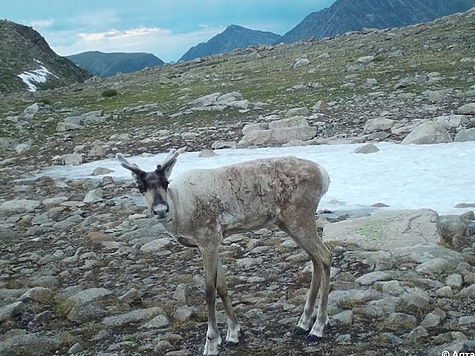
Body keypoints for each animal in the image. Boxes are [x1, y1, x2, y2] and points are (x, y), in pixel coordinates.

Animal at [117, 150, 332, 356]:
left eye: (165, 182)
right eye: (140, 186)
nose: (161, 209)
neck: (179, 209)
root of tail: (325, 175)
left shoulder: (208, 239)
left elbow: (209, 291)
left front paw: (211, 343)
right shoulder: (212, 243)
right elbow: (222, 286)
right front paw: (234, 334)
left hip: (299, 217)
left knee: (325, 256)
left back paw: (318, 328)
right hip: (286, 223)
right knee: (315, 260)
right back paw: (303, 323)